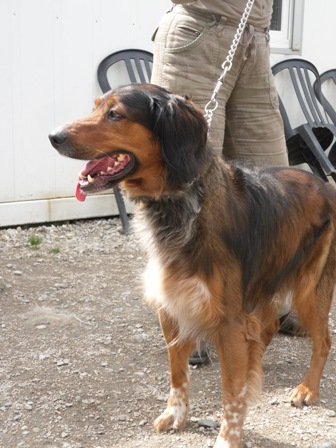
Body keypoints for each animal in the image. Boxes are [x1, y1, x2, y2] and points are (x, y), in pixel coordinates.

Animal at [48, 85, 334, 448]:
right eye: (96, 107)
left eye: (115, 114)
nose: (53, 136)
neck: (180, 204)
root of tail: (326, 186)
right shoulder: (171, 307)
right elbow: (177, 372)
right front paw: (176, 414)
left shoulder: (228, 320)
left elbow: (230, 393)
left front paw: (228, 437)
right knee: (267, 328)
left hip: (309, 289)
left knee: (323, 341)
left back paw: (307, 388)